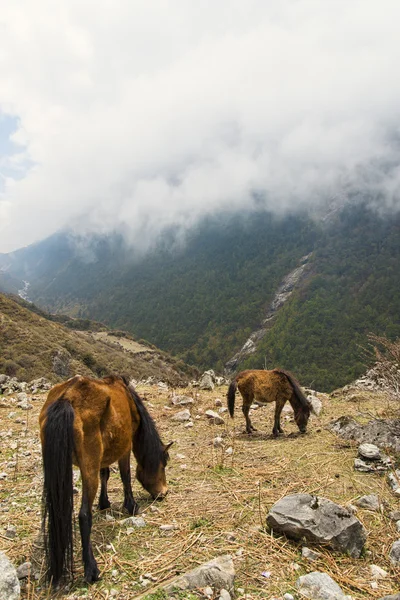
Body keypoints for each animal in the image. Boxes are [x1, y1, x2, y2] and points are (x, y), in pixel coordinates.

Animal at [38, 376, 173, 584]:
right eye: (164, 463)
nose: (163, 493)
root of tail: (66, 399)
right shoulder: (125, 445)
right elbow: (125, 475)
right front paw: (131, 505)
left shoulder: (105, 454)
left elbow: (106, 474)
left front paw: (104, 502)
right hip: (89, 466)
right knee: (84, 515)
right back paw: (91, 569)